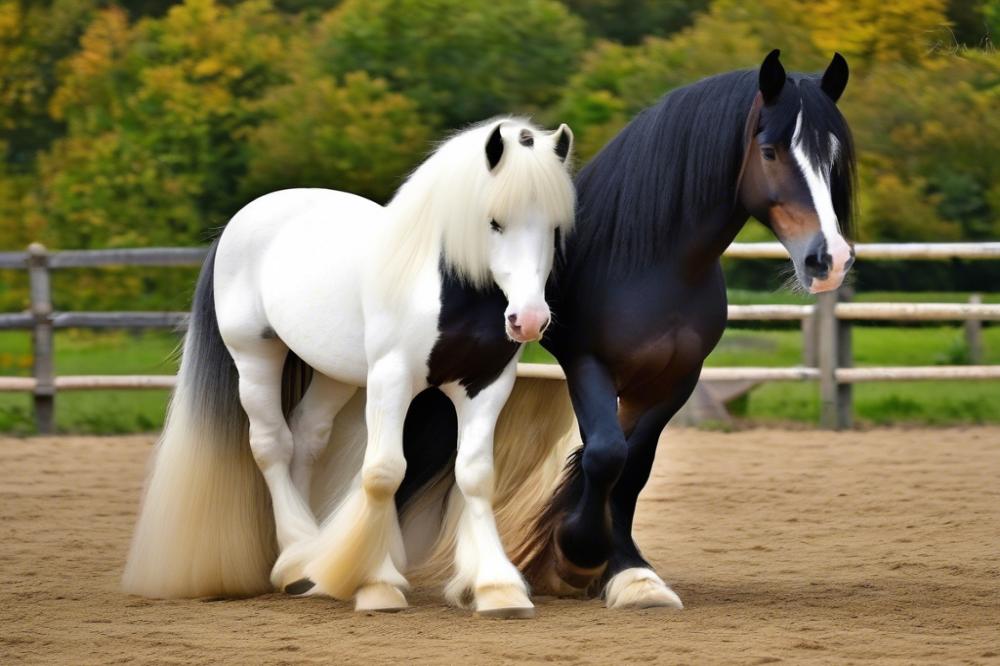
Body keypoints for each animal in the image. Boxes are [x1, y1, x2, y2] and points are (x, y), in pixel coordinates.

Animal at [123, 115, 580, 616]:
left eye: (554, 226)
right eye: (494, 221)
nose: (529, 320)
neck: (444, 290)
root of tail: (245, 219)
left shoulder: (486, 386)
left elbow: (476, 477)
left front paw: (497, 587)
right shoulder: (391, 380)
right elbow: (382, 473)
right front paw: (376, 583)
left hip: (332, 374)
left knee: (305, 438)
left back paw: (311, 558)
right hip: (255, 357)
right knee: (271, 445)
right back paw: (296, 557)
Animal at [398, 50, 860, 608]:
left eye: (835, 154)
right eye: (769, 151)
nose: (829, 259)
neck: (647, 263)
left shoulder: (674, 377)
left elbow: (632, 464)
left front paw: (628, 571)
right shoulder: (588, 365)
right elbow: (603, 454)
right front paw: (576, 556)